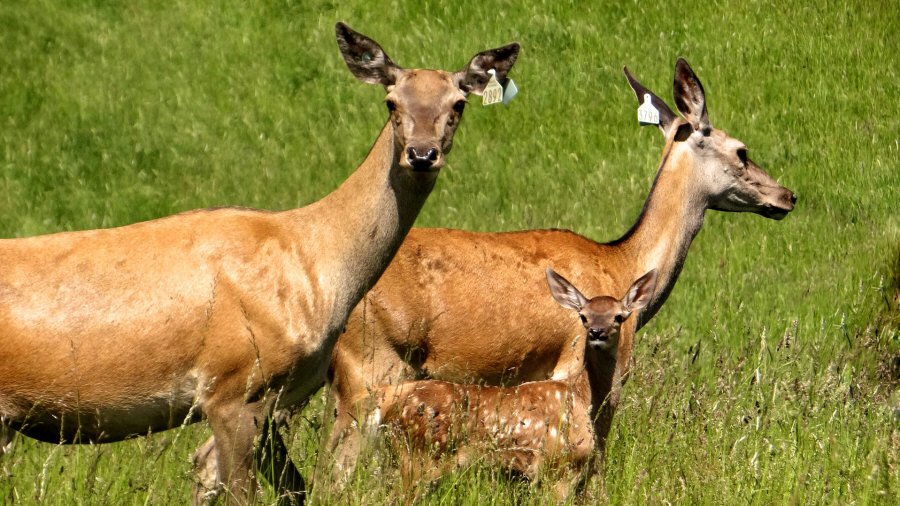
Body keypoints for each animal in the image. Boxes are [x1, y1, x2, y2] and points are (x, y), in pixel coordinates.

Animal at [0, 21, 520, 504]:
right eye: (391, 102)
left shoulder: (281, 393)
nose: (422, 154)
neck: (321, 271)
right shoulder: (234, 385)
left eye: (458, 104)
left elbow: (296, 488)